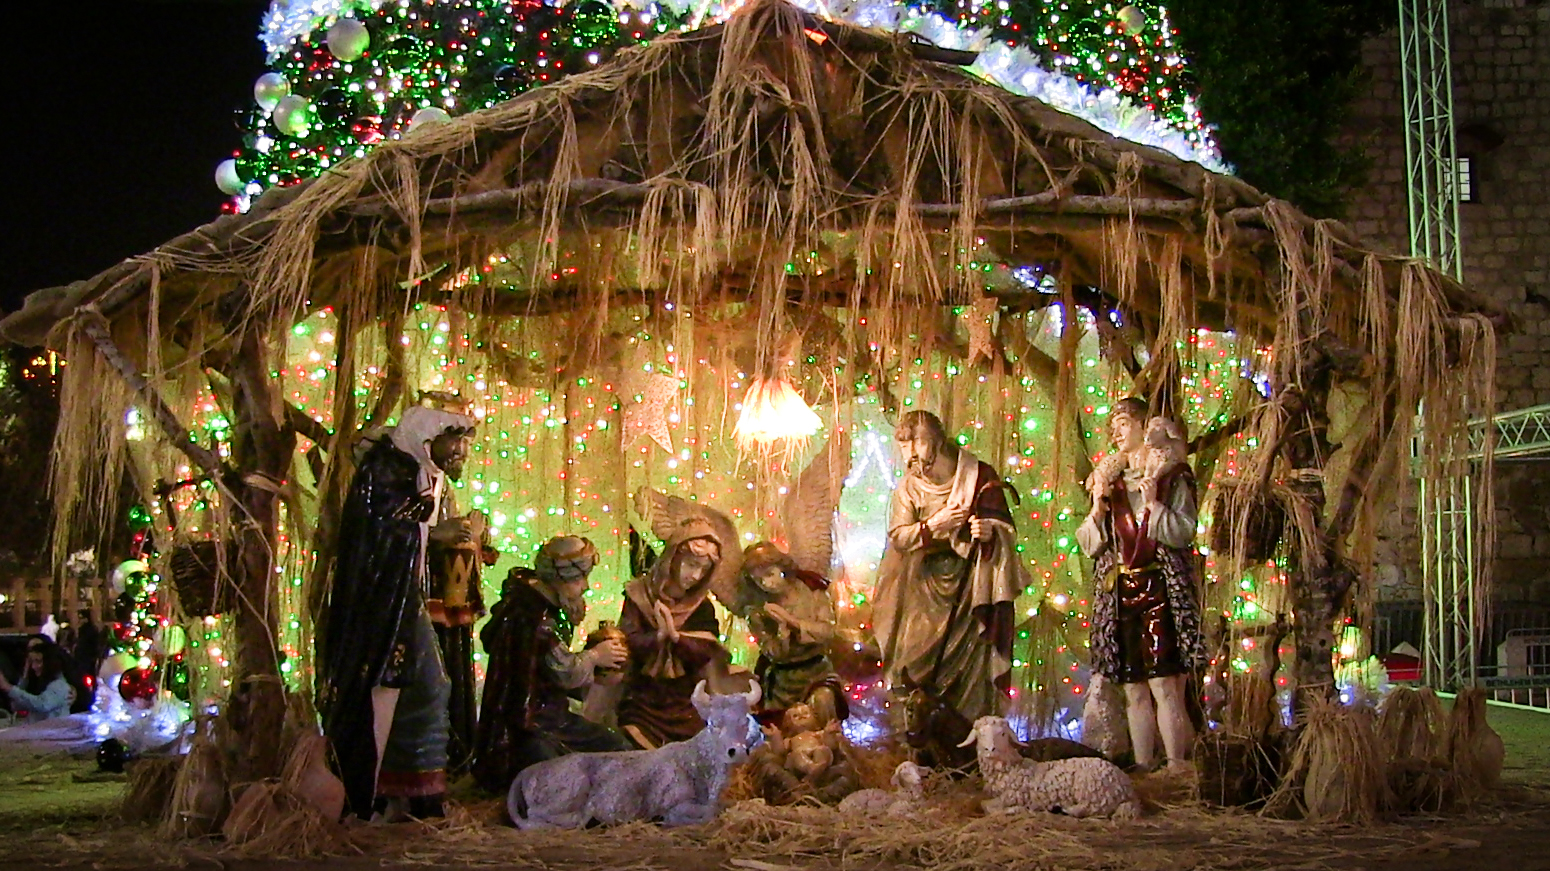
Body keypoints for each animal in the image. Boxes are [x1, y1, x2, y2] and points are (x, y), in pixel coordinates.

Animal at [954, 712, 1140, 812]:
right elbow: (983, 803)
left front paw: (1016, 810)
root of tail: (1126, 784)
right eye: (980, 734)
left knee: (1093, 808)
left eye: (1002, 734)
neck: (1012, 768)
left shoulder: (1012, 797)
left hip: (1092, 791)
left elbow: (988, 807)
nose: (990, 749)